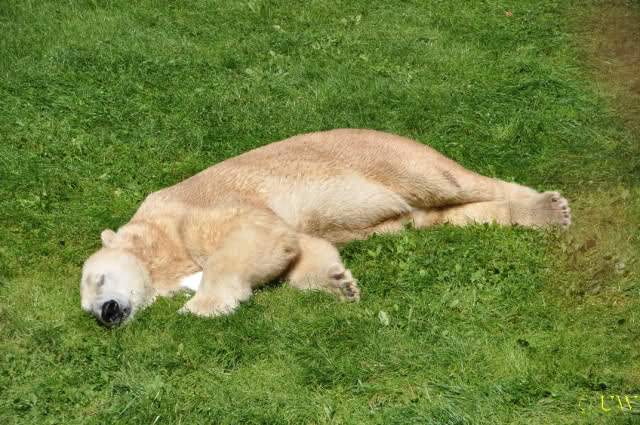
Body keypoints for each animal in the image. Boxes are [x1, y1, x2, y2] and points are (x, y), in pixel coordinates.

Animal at [80, 129, 571, 326]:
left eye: (99, 279)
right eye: (88, 309)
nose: (107, 313)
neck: (158, 239)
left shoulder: (195, 211)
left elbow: (256, 235)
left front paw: (201, 306)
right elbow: (296, 247)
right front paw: (337, 282)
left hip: (390, 159)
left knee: (454, 182)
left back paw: (549, 207)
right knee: (446, 214)